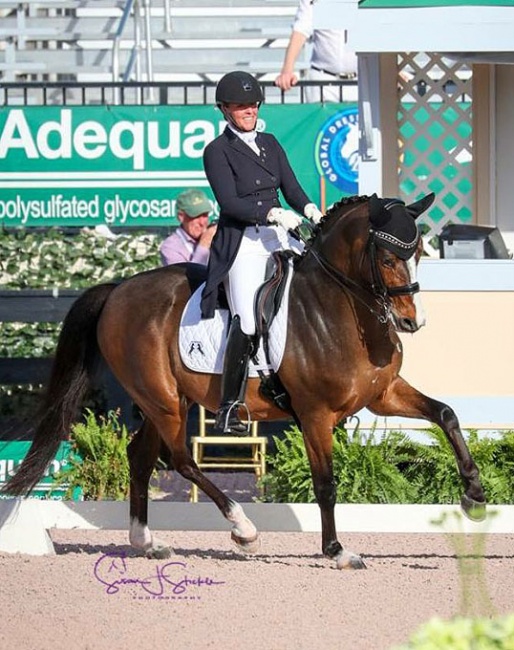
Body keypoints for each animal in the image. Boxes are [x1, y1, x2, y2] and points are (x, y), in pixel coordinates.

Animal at [3, 192, 484, 568]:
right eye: (386, 257)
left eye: (418, 253)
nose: (411, 321)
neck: (339, 310)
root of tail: (118, 289)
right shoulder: (315, 414)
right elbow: (326, 483)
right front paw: (337, 551)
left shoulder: (381, 395)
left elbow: (446, 414)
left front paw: (475, 496)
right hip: (163, 401)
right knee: (183, 461)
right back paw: (243, 528)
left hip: (168, 401)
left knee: (140, 457)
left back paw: (148, 543)